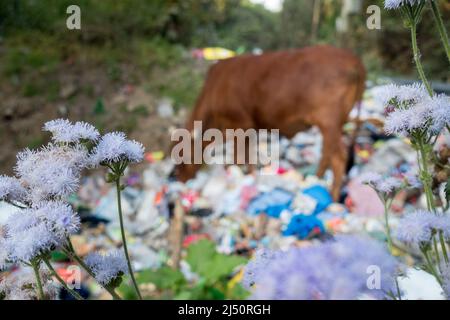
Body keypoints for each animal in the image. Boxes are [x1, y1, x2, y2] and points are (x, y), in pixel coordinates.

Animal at [172, 45, 366, 200]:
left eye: (181, 159)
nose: (180, 180)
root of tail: (352, 58)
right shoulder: (246, 128)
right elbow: (244, 155)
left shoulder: (240, 124)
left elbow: (240, 155)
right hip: (336, 124)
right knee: (330, 154)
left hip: (329, 122)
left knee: (337, 157)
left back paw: (328, 193)